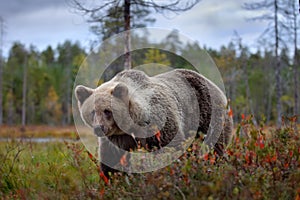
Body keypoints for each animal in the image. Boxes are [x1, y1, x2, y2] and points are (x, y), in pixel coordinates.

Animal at [74, 69, 232, 177]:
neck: (132, 122)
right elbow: (113, 159)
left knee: (217, 143)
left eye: (107, 111)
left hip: (209, 112)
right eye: (92, 111)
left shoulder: (158, 122)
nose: (99, 129)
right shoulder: (118, 137)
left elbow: (171, 148)